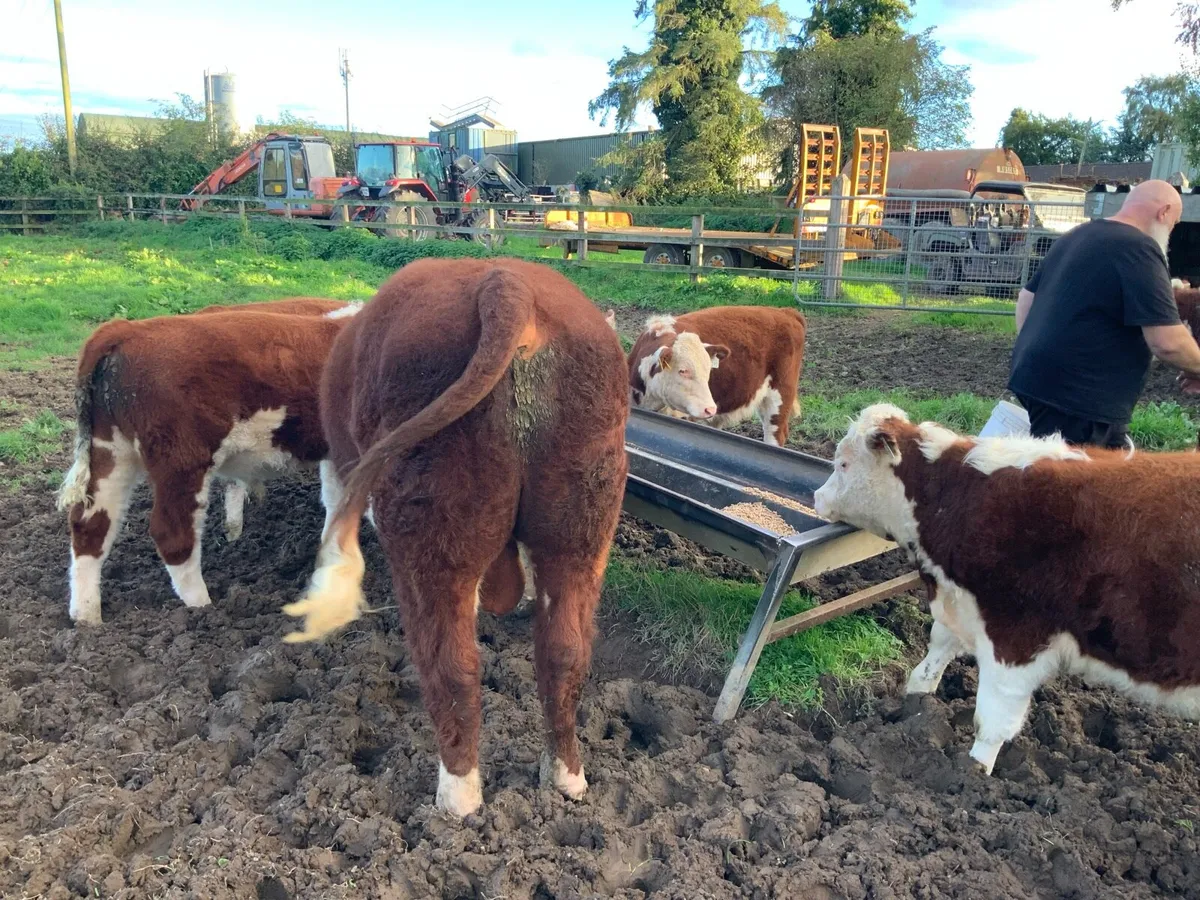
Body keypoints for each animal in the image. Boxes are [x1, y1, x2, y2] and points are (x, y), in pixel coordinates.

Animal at [57, 300, 361, 625]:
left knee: (91, 524)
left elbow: (337, 504)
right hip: (181, 460)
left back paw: (87, 617)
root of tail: (127, 329)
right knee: (172, 533)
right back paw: (202, 607)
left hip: (111, 451)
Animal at [281, 257, 629, 818]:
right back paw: (565, 777)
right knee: (564, 652)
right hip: (581, 529)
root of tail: (507, 284)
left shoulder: (342, 466)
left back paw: (457, 799)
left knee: (452, 667)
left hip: (430, 534)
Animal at [626, 306, 807, 446]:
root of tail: (785, 312)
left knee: (775, 434)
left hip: (779, 396)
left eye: (708, 370)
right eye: (683, 370)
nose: (710, 408)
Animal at [813, 404, 1200, 775]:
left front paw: (974, 772)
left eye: (843, 463)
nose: (817, 497)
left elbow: (993, 717)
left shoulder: (1015, 634)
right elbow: (936, 651)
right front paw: (914, 703)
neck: (960, 498)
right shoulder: (965, 603)